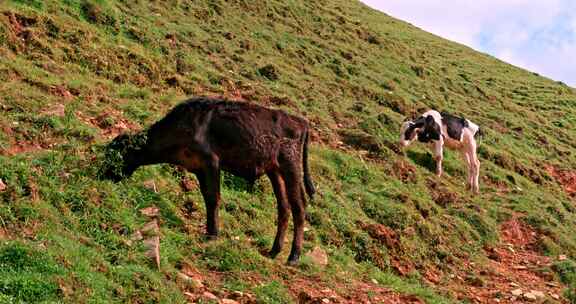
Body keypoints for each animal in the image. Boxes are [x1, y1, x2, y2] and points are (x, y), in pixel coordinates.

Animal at [99, 97, 316, 264]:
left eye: (117, 154)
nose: (101, 175)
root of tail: (300, 122)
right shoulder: (198, 168)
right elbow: (207, 197)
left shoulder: (211, 162)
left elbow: (213, 198)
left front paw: (212, 235)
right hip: (275, 171)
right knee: (284, 207)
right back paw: (274, 250)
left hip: (291, 167)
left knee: (299, 207)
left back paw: (293, 256)